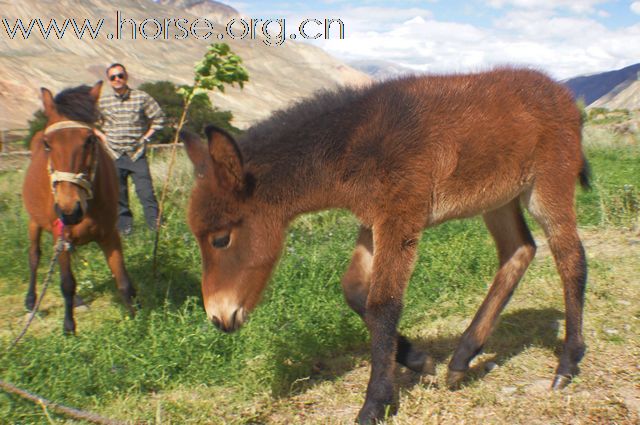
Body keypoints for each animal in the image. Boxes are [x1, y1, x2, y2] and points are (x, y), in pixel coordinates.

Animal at [23, 82, 136, 334]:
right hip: (34, 222)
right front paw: (69, 327)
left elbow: (123, 279)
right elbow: (67, 283)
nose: (69, 210)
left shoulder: (109, 234)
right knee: (34, 257)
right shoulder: (61, 234)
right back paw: (31, 301)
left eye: (90, 140)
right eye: (47, 144)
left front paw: (139, 319)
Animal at [180, 68, 592, 422]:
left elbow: (383, 305)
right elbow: (354, 291)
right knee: (519, 250)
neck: (351, 143)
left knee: (571, 256)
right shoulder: (372, 222)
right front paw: (418, 360)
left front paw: (376, 403)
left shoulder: (400, 219)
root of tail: (561, 92)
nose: (218, 318)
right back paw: (462, 358)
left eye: (220, 239)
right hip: (498, 198)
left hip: (548, 185)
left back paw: (568, 363)